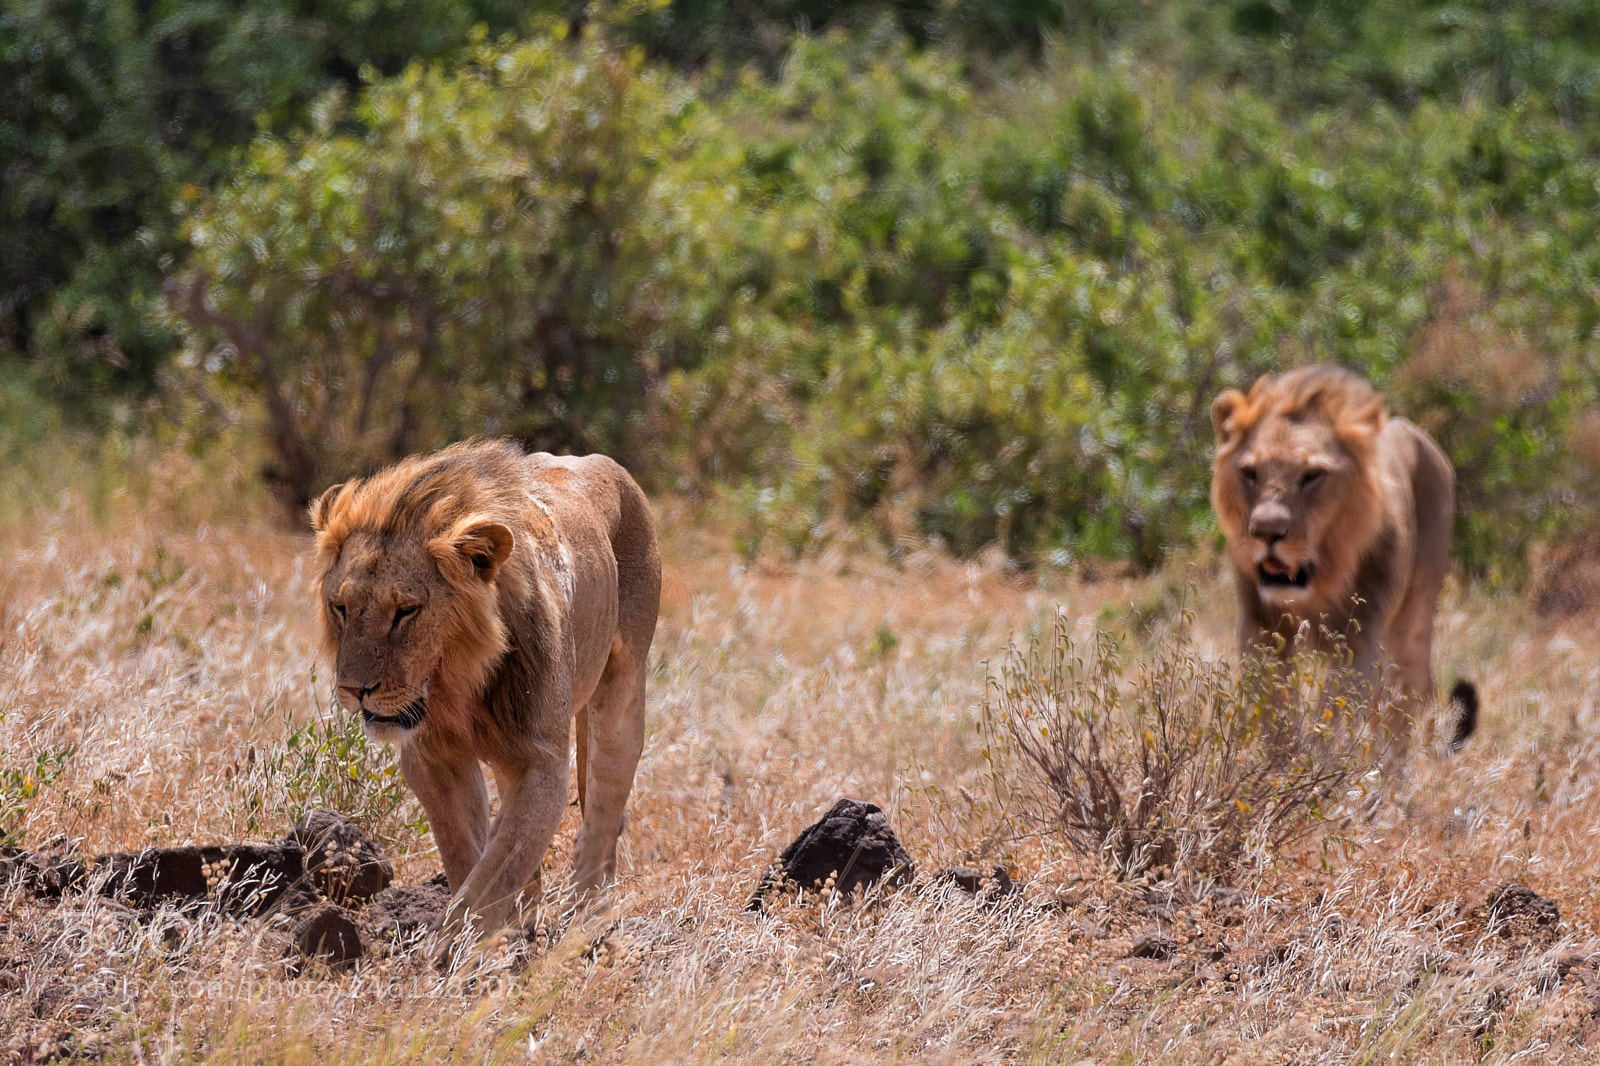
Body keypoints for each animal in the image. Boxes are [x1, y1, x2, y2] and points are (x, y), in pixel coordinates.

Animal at [309, 439, 661, 954]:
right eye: (341, 607)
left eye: (406, 611)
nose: (355, 690)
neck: (456, 685)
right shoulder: (433, 758)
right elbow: (468, 854)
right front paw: (492, 937)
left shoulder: (540, 762)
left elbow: (496, 869)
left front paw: (451, 952)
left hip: (622, 687)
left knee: (602, 811)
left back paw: (588, 917)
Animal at [1210, 365, 1474, 748]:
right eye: (1249, 473)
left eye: (1312, 475)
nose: (1266, 531)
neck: (1322, 578)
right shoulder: (1260, 625)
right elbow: (1273, 704)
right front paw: (1283, 754)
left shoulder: (1360, 635)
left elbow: (1333, 712)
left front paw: (1313, 756)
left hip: (1413, 621)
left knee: (1408, 702)